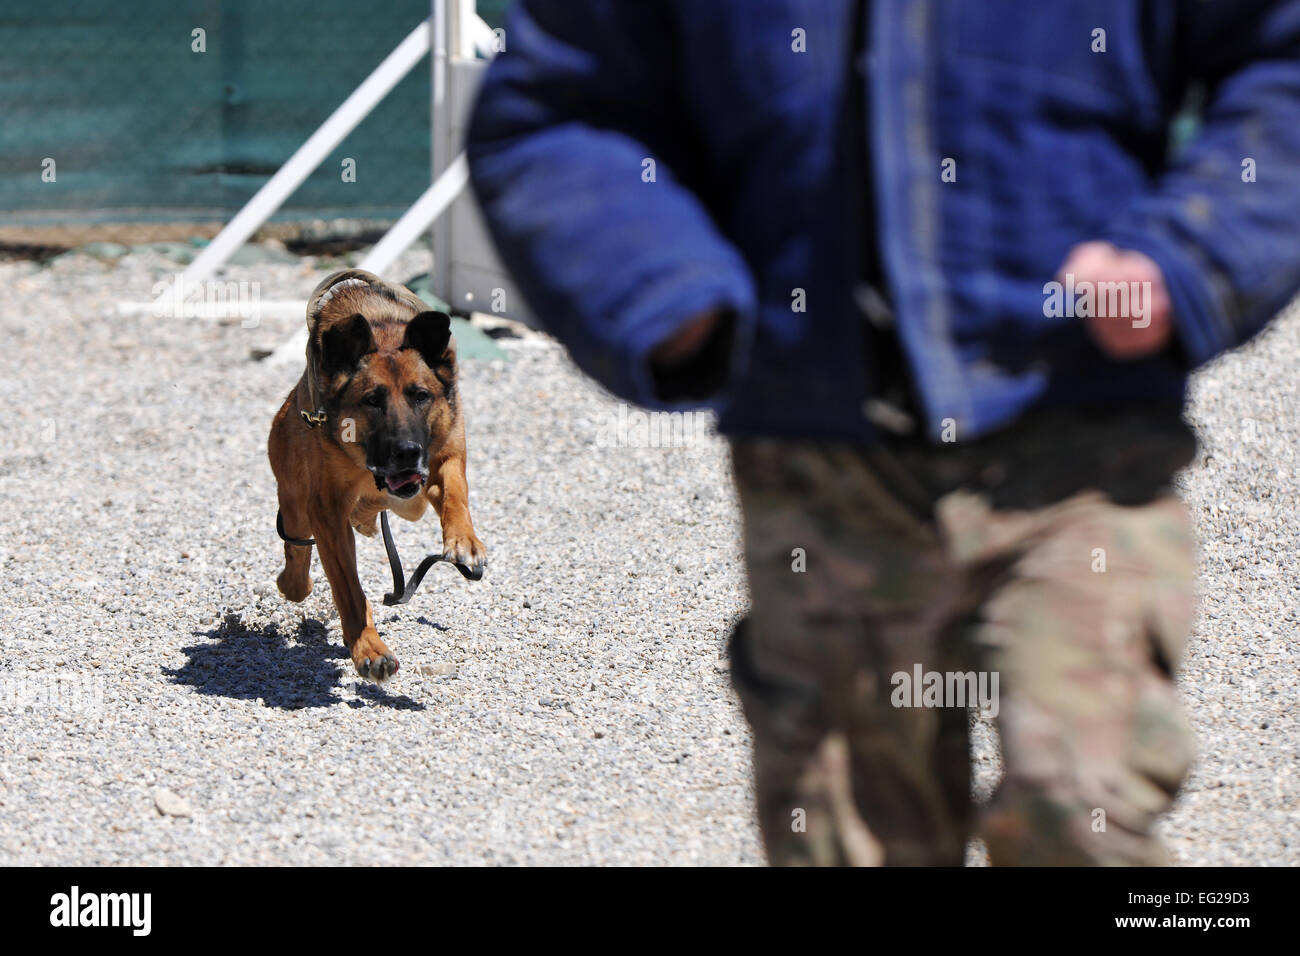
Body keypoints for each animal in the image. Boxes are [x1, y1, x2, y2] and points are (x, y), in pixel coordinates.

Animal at [269, 269, 488, 681]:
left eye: (421, 395)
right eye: (372, 399)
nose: (406, 451)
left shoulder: (445, 457)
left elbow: (456, 493)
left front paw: (464, 541)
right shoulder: (327, 509)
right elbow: (348, 589)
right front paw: (368, 648)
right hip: (294, 494)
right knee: (296, 543)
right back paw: (294, 582)